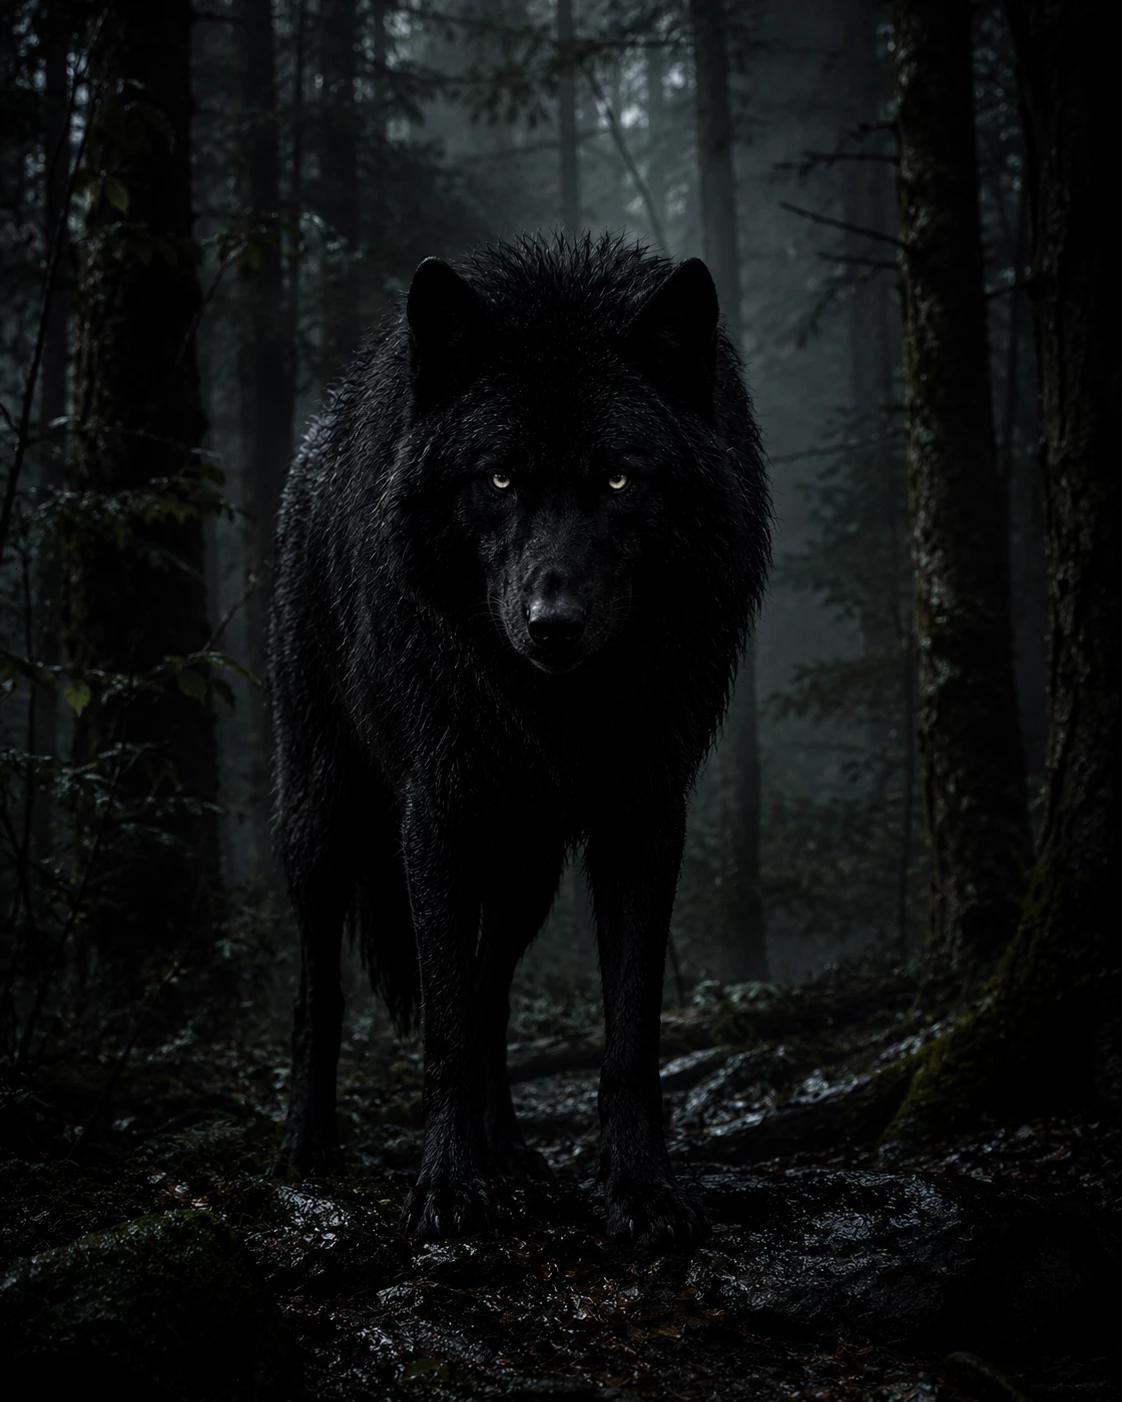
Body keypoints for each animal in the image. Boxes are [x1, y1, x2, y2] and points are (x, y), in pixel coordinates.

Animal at [270, 234, 770, 1244]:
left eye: (619, 478)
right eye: (499, 478)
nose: (554, 626)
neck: (558, 709)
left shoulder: (642, 817)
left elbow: (626, 1035)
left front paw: (641, 1189)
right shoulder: (437, 814)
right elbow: (443, 1030)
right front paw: (449, 1188)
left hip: (530, 865)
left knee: (490, 985)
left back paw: (512, 1154)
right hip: (324, 815)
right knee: (321, 988)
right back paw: (310, 1143)